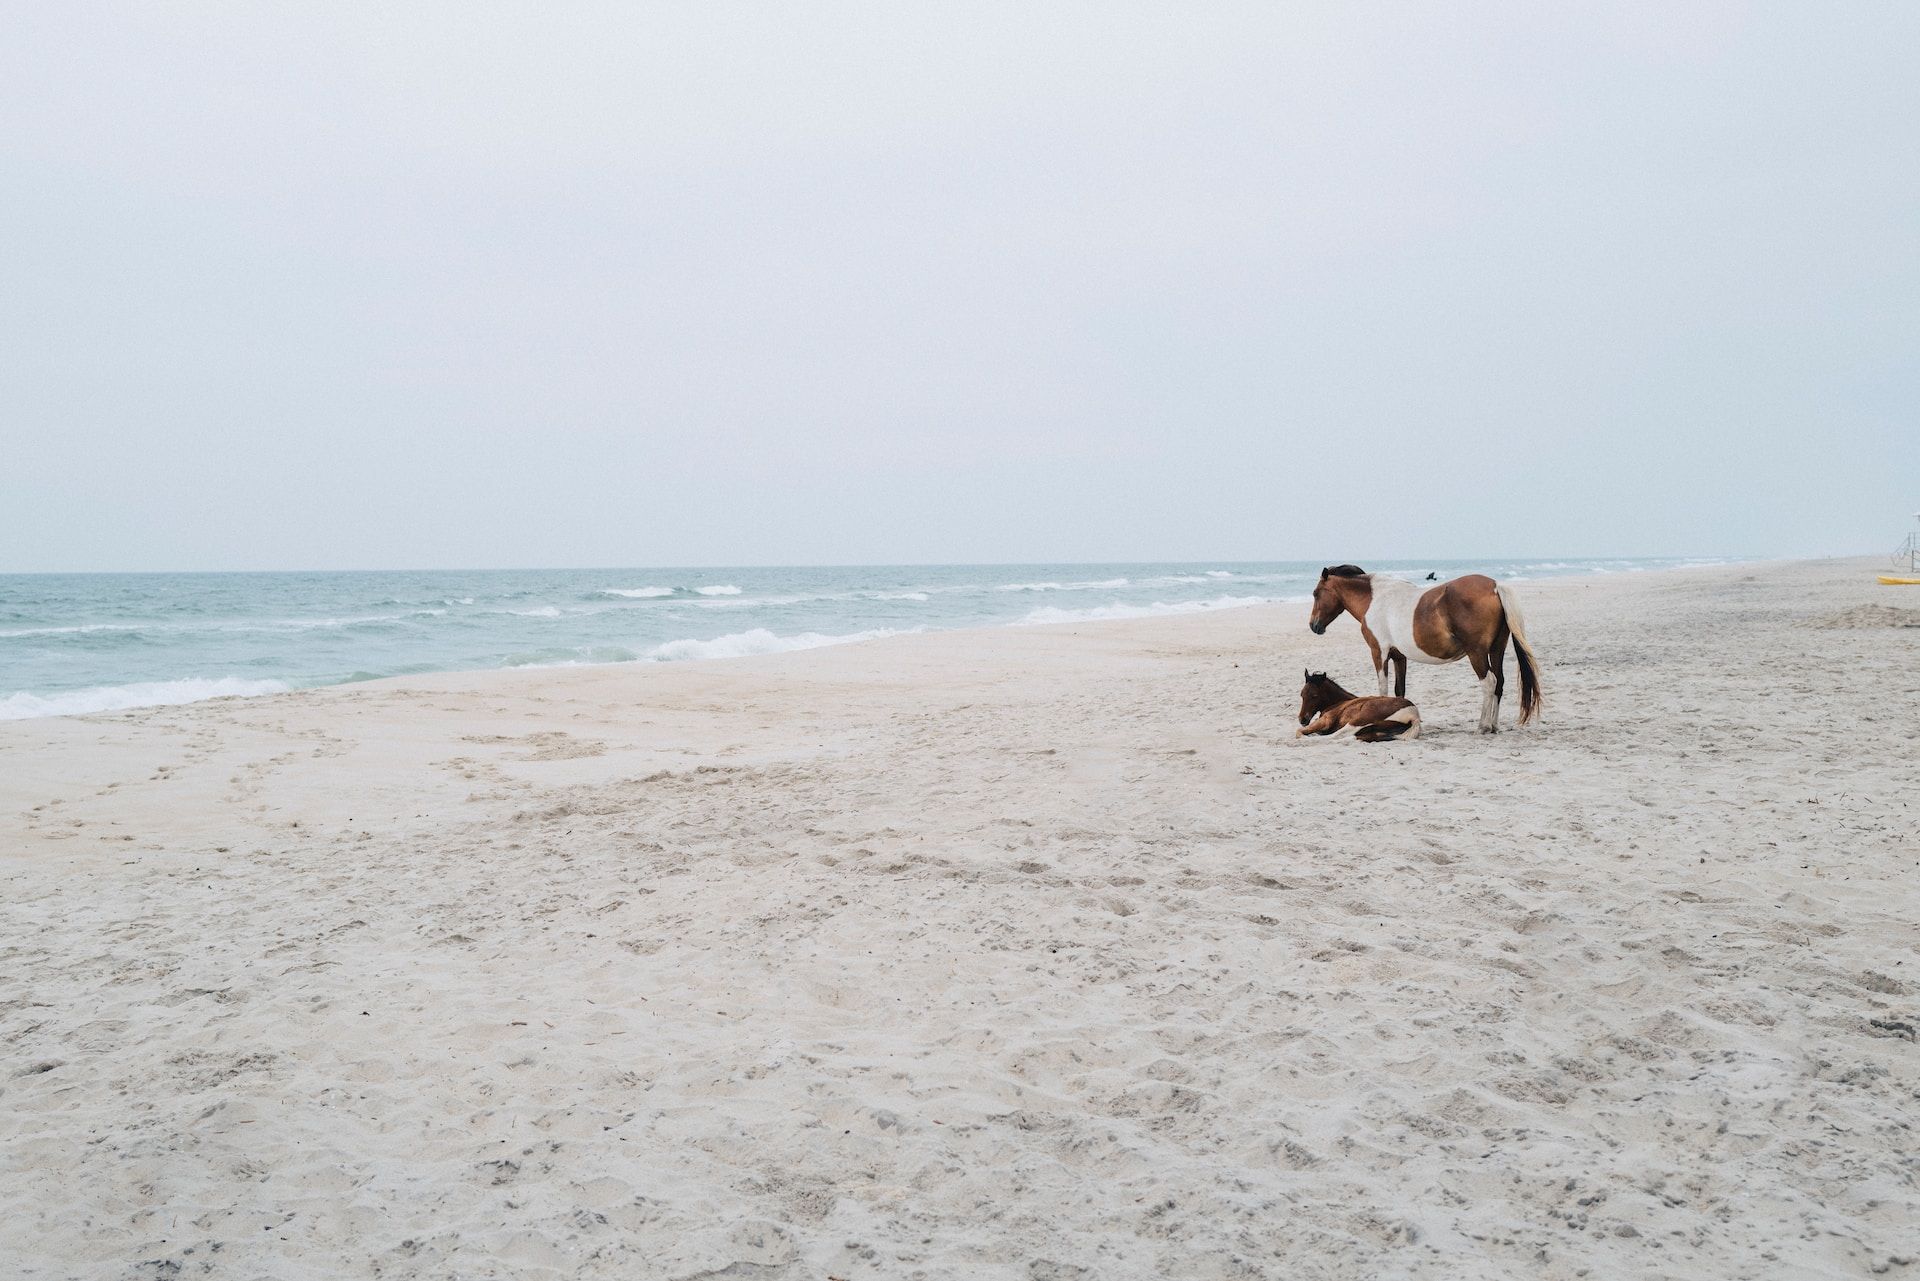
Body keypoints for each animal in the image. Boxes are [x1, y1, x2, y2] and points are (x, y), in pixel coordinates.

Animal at [1305, 568, 1543, 737]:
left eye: (1316, 593)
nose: (1314, 626)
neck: (1374, 600)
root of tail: (1494, 586)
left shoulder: (1378, 653)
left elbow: (1383, 688)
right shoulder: (1399, 657)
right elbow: (1399, 690)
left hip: (1477, 653)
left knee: (1489, 683)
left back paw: (1483, 726)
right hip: (1496, 650)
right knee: (1499, 683)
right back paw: (1493, 726)